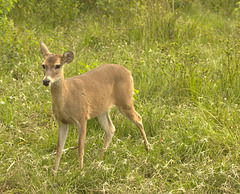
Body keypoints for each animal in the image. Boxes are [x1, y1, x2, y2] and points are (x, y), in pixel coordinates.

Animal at [40, 42, 149, 174]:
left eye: (58, 65)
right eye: (43, 65)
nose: (46, 81)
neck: (67, 98)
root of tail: (128, 72)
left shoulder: (82, 117)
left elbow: (80, 147)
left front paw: (80, 171)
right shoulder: (62, 122)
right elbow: (59, 149)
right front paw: (54, 173)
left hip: (125, 101)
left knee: (138, 118)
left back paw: (147, 148)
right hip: (102, 109)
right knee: (110, 129)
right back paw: (99, 159)